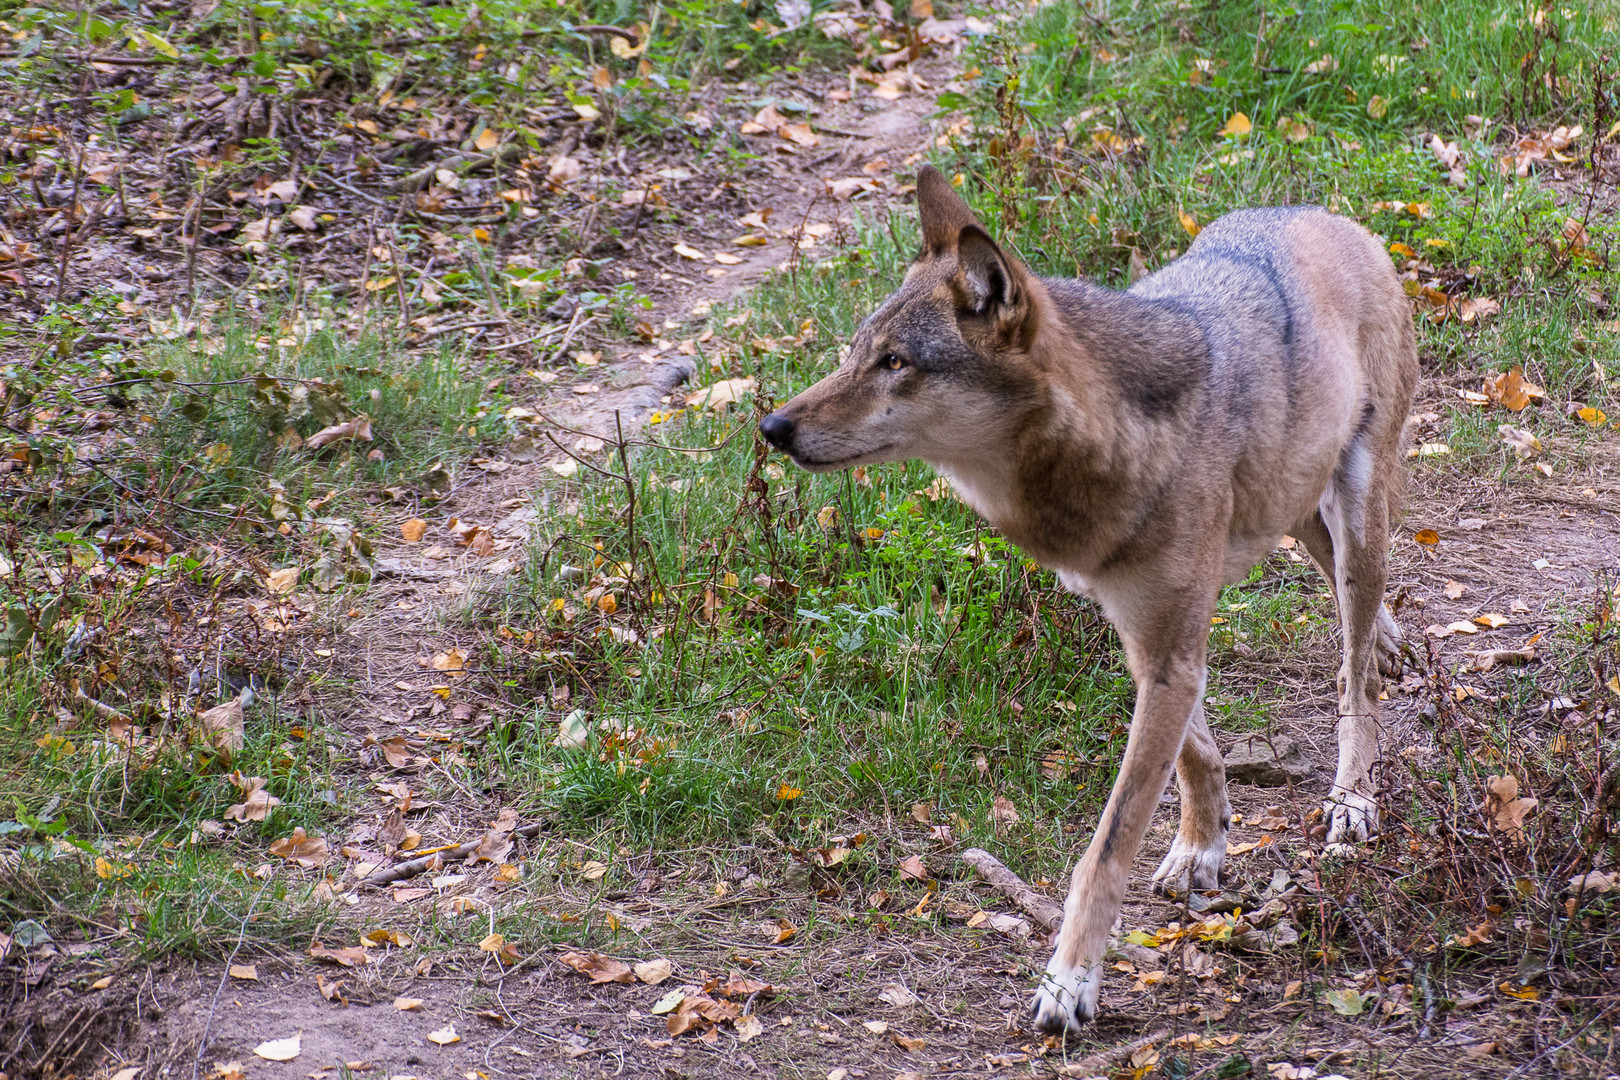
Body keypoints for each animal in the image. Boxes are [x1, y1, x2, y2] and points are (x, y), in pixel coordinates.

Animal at [758, 166, 1419, 1029]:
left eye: (897, 363)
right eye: (855, 355)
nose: (772, 426)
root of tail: (1322, 211)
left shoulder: (1171, 647)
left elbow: (1109, 842)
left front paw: (1069, 982)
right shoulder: (1144, 635)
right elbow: (1194, 756)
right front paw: (1202, 846)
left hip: (1358, 519)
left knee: (1355, 674)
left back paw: (1353, 795)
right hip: (1304, 509)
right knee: (1352, 620)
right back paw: (1392, 643)